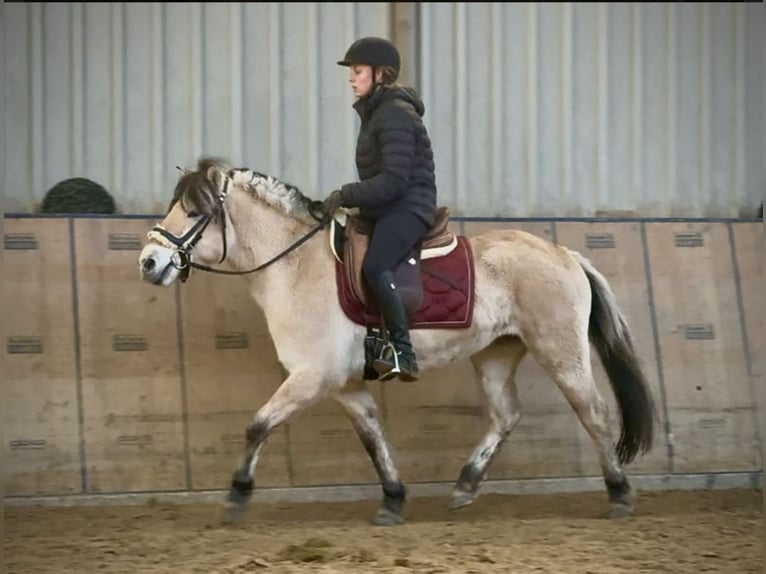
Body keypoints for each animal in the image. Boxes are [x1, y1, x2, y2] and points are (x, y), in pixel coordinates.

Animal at [138, 157, 656, 525]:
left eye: (195, 211)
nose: (148, 262)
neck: (295, 265)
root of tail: (563, 253)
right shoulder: (344, 384)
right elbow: (372, 437)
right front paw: (392, 499)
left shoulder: (312, 377)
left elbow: (257, 426)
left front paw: (236, 496)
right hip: (495, 355)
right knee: (506, 415)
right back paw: (465, 486)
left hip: (560, 352)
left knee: (593, 413)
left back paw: (618, 494)